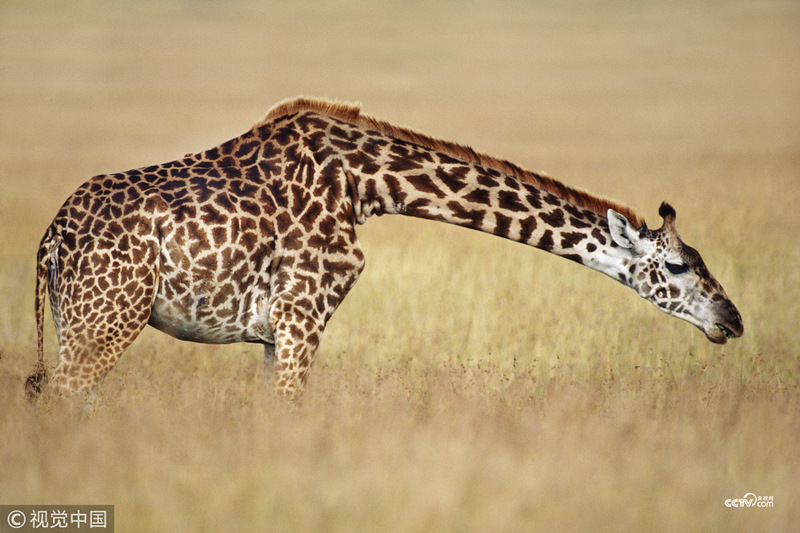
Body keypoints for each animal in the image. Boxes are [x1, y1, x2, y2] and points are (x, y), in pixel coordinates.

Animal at [25, 96, 743, 401]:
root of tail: (50, 238)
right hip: (106, 320)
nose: (732, 320)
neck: (366, 185)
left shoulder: (274, 331)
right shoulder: (302, 317)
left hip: (76, 322)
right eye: (678, 265)